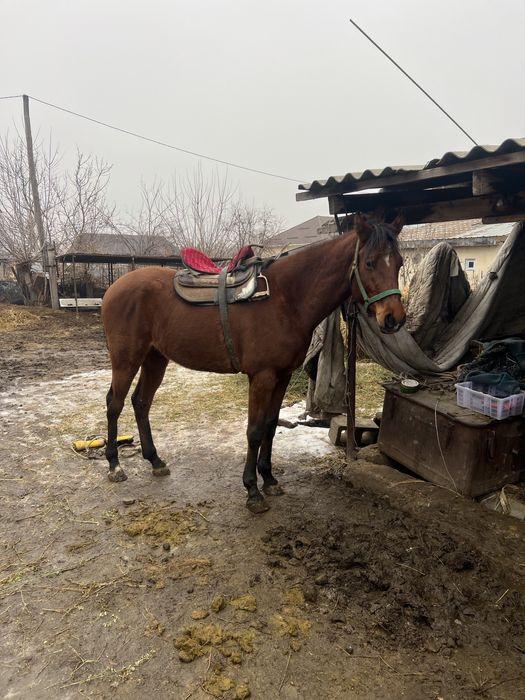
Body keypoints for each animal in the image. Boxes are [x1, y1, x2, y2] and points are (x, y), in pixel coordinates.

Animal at [101, 214, 406, 513]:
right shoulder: (262, 377)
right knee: (115, 403)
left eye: (399, 263)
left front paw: (269, 479)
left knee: (141, 402)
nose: (394, 318)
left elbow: (270, 426)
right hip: (126, 359)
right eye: (369, 263)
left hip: (155, 358)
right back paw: (115, 466)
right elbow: (255, 431)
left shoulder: (282, 376)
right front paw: (252, 490)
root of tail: (114, 288)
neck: (286, 300)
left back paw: (155, 461)